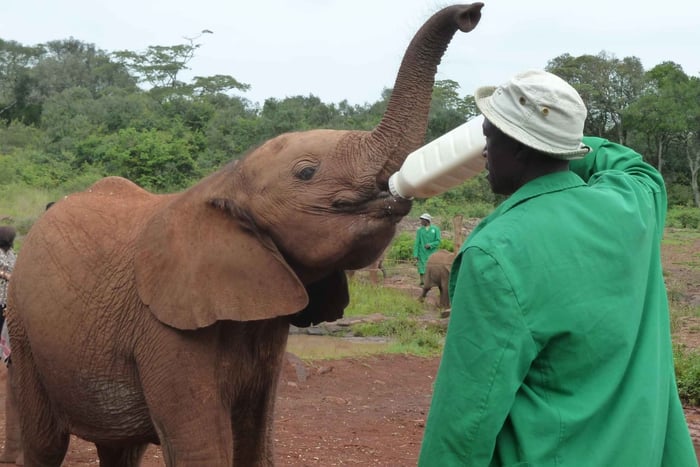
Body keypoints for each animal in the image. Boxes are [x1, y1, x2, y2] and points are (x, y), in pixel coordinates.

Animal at [6, 4, 483, 465]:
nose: (471, 14)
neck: (224, 182)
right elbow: (201, 448)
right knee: (46, 443)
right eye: (307, 173)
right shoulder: (166, 327)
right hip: (24, 332)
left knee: (120, 449)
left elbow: (255, 439)